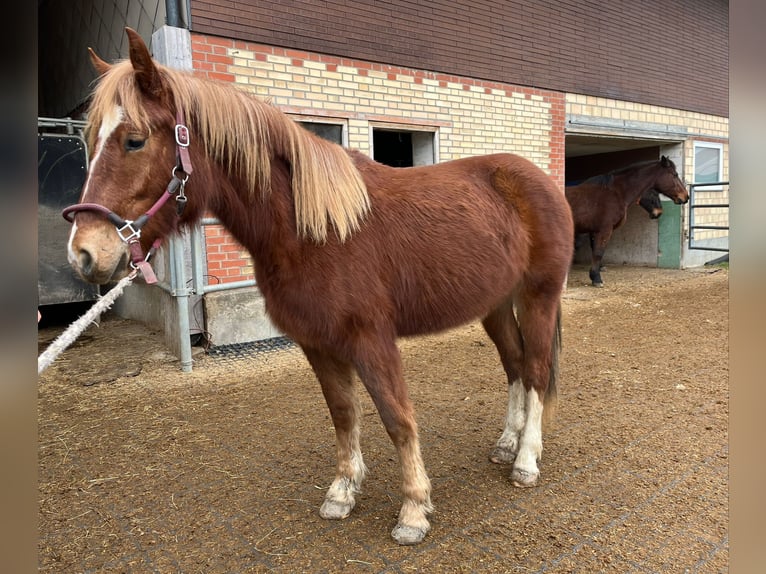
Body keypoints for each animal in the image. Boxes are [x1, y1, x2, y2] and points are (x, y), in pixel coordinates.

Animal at [63, 28, 572, 548]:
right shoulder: (317, 342)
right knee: (514, 366)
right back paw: (507, 443)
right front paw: (343, 493)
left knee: (535, 369)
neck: (315, 230)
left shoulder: (371, 340)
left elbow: (397, 418)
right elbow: (344, 414)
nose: (84, 254)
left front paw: (413, 510)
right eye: (89, 139)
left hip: (538, 297)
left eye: (134, 140)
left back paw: (526, 461)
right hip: (495, 305)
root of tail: (539, 181)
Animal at [564, 158, 688, 288]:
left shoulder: (594, 231)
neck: (615, 193)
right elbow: (598, 252)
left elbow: (594, 251)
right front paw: (596, 278)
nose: (686, 196)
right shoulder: (604, 230)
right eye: (674, 175)